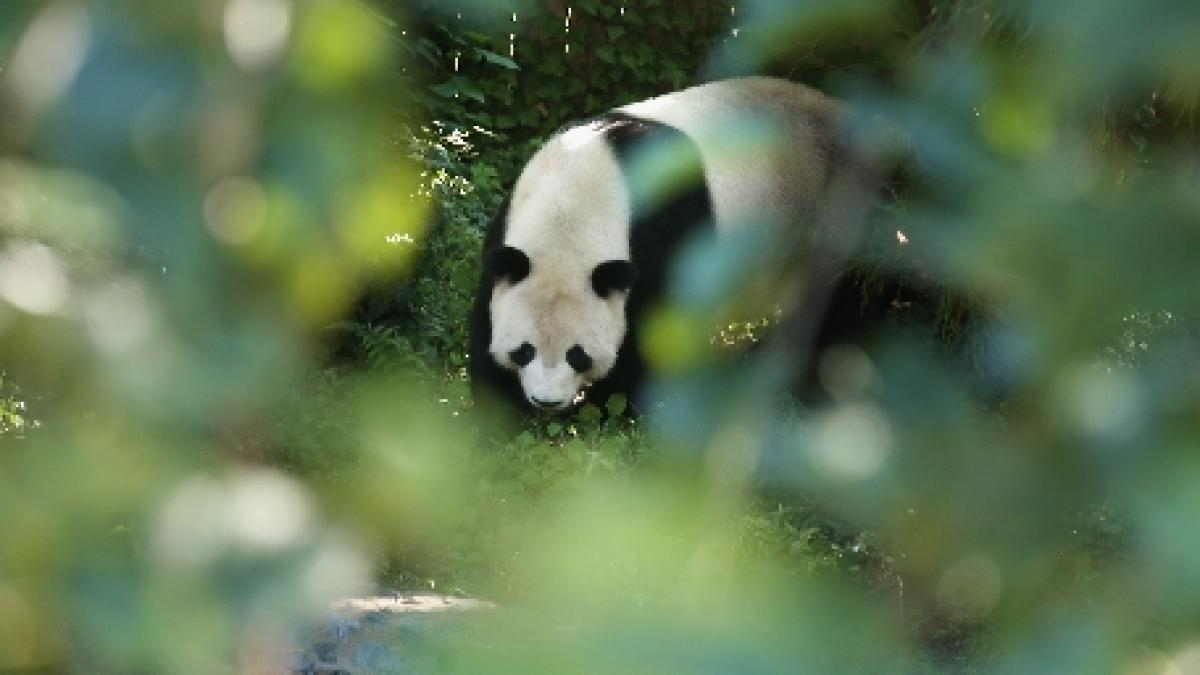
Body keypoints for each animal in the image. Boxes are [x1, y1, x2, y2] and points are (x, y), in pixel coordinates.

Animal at [469, 77, 880, 416]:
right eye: (524, 350)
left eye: (578, 356)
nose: (547, 402)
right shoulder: (510, 231)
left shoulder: (662, 229)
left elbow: (650, 332)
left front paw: (612, 405)